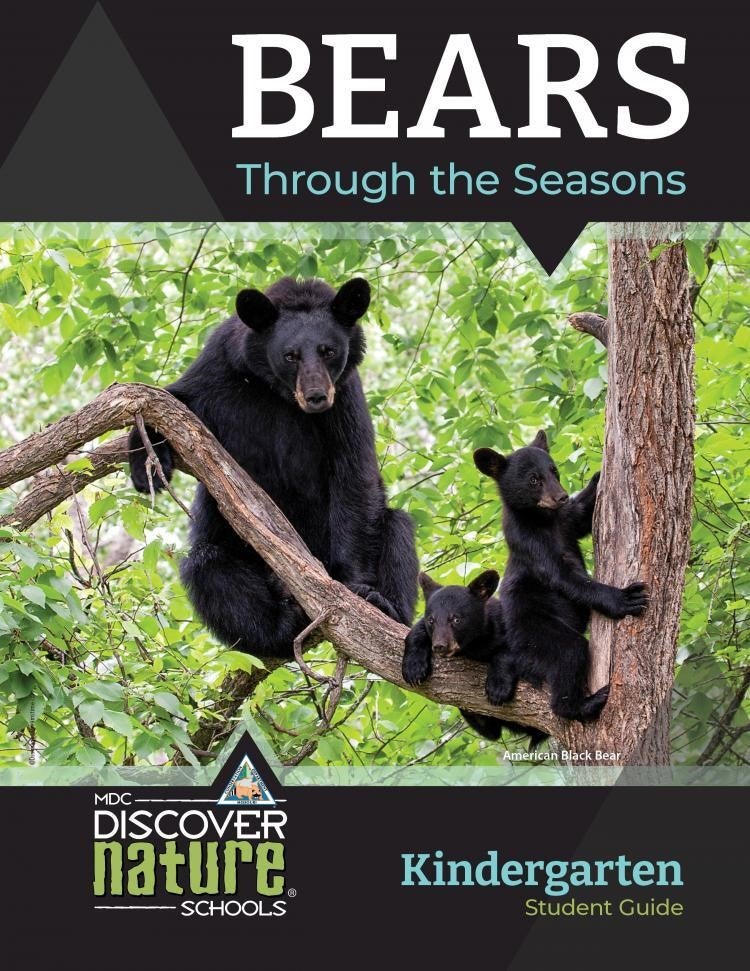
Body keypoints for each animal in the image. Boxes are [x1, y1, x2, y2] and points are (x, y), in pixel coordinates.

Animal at [128, 276, 419, 657]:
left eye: (328, 351)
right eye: (290, 355)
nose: (316, 396)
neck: (278, 393)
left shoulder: (346, 398)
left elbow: (354, 474)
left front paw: (356, 588)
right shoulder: (219, 367)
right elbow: (173, 400)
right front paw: (144, 465)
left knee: (397, 528)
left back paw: (386, 606)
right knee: (208, 567)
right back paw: (280, 626)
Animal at [402, 570, 547, 747]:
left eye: (456, 619)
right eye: (432, 620)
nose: (439, 646)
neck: (474, 645)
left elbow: (511, 652)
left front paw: (498, 688)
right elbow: (417, 631)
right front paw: (413, 668)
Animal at [473, 430, 648, 721]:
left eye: (553, 470)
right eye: (534, 479)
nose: (561, 496)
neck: (544, 519)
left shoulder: (566, 521)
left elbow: (581, 516)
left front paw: (598, 476)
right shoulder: (529, 541)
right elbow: (563, 576)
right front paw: (623, 598)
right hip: (534, 631)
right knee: (570, 652)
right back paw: (583, 704)